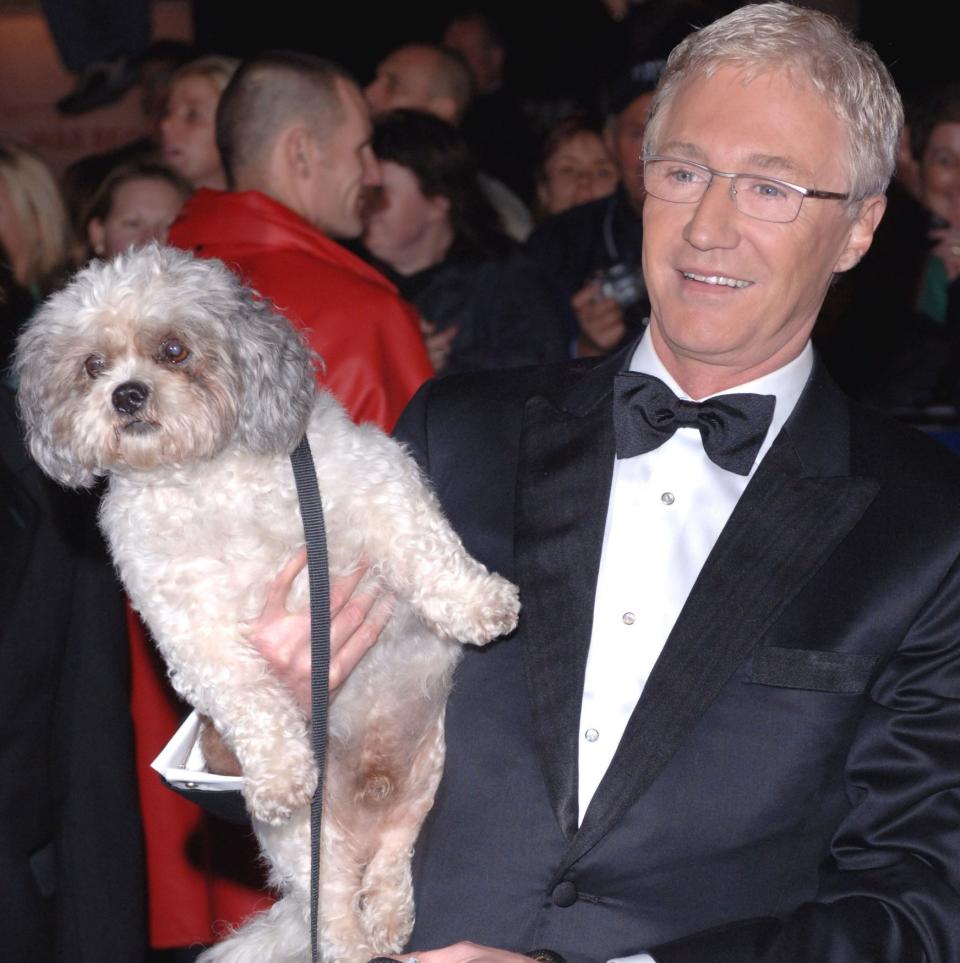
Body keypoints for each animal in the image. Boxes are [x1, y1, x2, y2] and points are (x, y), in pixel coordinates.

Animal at [15, 245, 520, 960]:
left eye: (173, 349)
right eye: (92, 365)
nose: (126, 394)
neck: (206, 478)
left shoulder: (375, 477)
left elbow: (424, 546)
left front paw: (476, 603)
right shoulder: (189, 624)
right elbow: (246, 695)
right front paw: (280, 772)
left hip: (426, 783)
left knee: (393, 857)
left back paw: (389, 913)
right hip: (307, 845)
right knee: (333, 909)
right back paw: (360, 937)